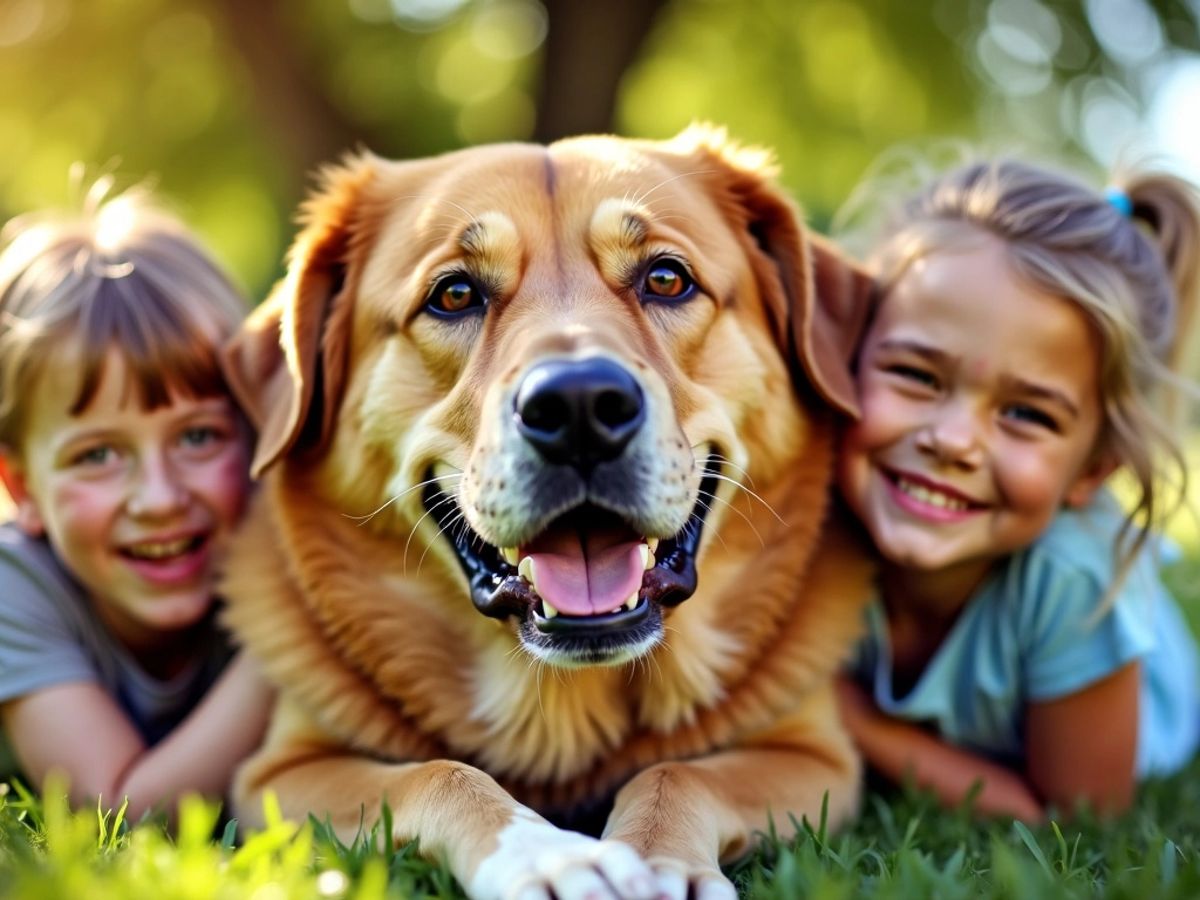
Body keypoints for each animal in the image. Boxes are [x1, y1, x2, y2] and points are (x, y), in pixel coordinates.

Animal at [220, 128, 873, 900]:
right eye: (455, 294)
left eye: (666, 279)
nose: (579, 406)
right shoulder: (278, 773)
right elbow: (441, 773)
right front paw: (549, 856)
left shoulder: (815, 756)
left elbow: (677, 772)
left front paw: (661, 862)